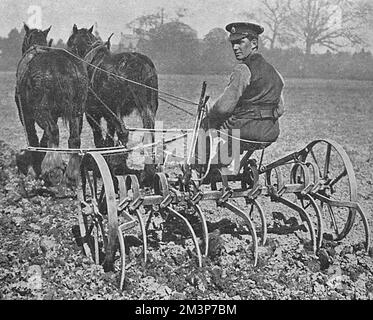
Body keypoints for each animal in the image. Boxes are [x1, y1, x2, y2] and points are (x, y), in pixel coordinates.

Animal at [14, 23, 89, 185]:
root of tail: (64, 66)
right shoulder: (54, 114)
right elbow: (43, 139)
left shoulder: (26, 115)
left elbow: (33, 137)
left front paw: (35, 167)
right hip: (77, 111)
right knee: (74, 138)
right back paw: (70, 175)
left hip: (40, 111)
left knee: (53, 131)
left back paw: (51, 169)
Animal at [67, 24, 158, 184]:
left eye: (70, 42)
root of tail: (142, 65)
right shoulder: (108, 115)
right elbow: (109, 140)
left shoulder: (93, 113)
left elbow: (99, 139)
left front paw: (100, 169)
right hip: (148, 106)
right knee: (149, 131)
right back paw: (147, 172)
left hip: (115, 109)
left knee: (124, 132)